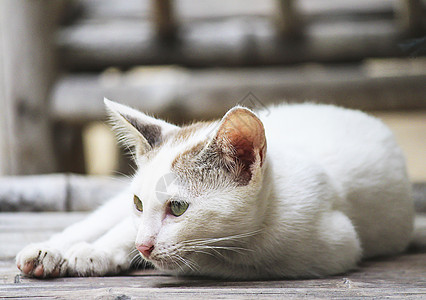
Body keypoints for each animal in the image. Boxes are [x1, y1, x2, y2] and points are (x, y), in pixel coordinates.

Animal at [15, 99, 412, 278]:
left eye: (177, 208)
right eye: (139, 204)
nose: (144, 246)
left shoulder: (332, 246)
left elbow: (212, 261)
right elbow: (121, 230)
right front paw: (97, 250)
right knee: (95, 221)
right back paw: (49, 251)